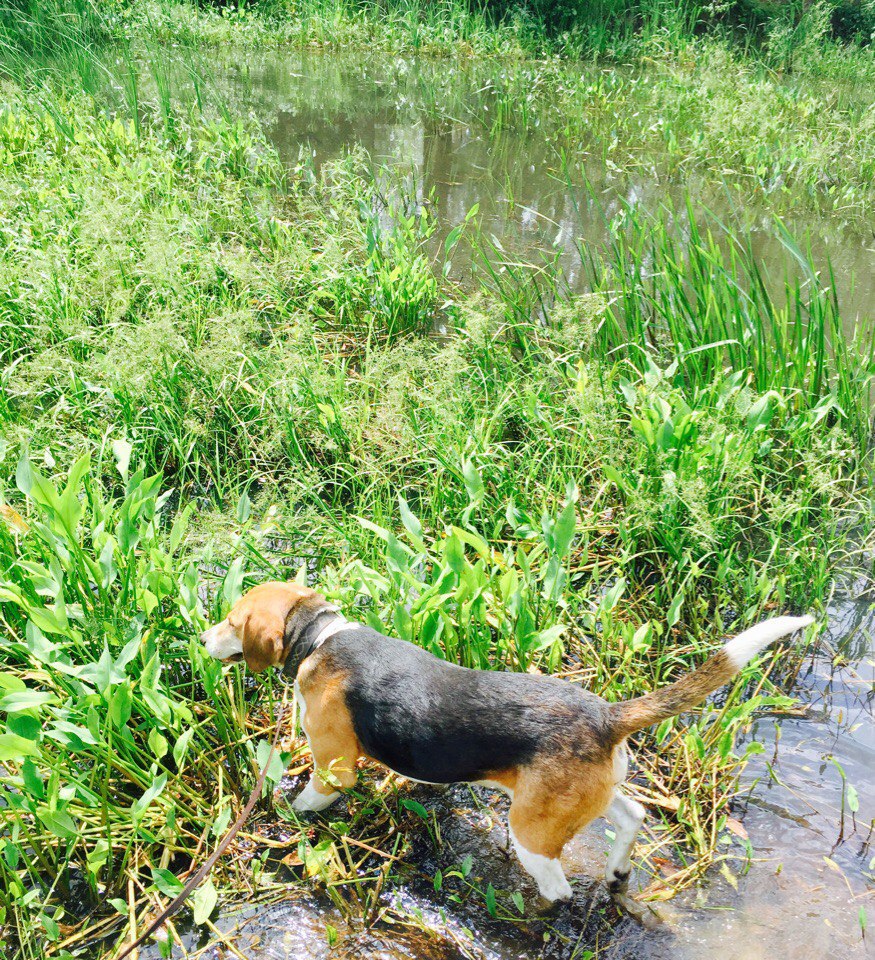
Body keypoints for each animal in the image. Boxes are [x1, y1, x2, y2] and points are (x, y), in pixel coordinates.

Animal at [200, 580, 816, 904]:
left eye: (231, 620)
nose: (201, 639)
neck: (319, 638)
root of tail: (606, 714)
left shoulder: (333, 766)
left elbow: (310, 796)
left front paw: (283, 814)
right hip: (582, 795)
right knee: (634, 815)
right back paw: (617, 872)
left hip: (531, 833)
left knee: (559, 889)